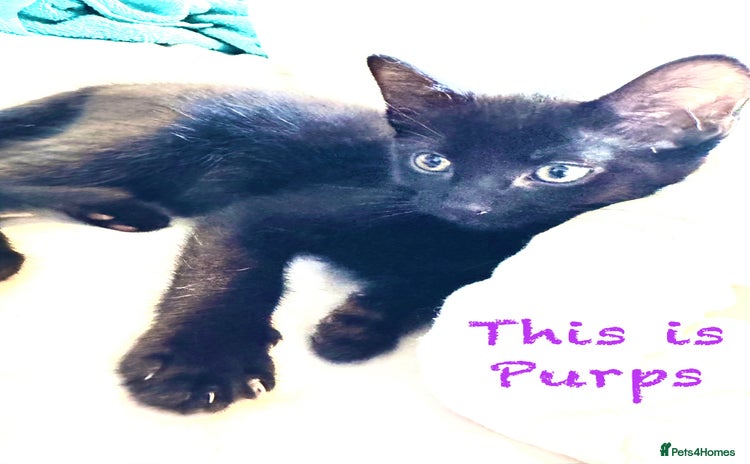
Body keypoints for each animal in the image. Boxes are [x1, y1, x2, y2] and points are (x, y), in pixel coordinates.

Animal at [0, 54, 747, 414]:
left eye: (557, 172)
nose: (469, 201)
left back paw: (115, 211)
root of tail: (113, 84)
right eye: (432, 162)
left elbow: (436, 285)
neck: (457, 238)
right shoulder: (263, 212)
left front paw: (359, 324)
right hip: (149, 142)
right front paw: (199, 363)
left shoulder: (461, 258)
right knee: (16, 168)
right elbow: (235, 272)